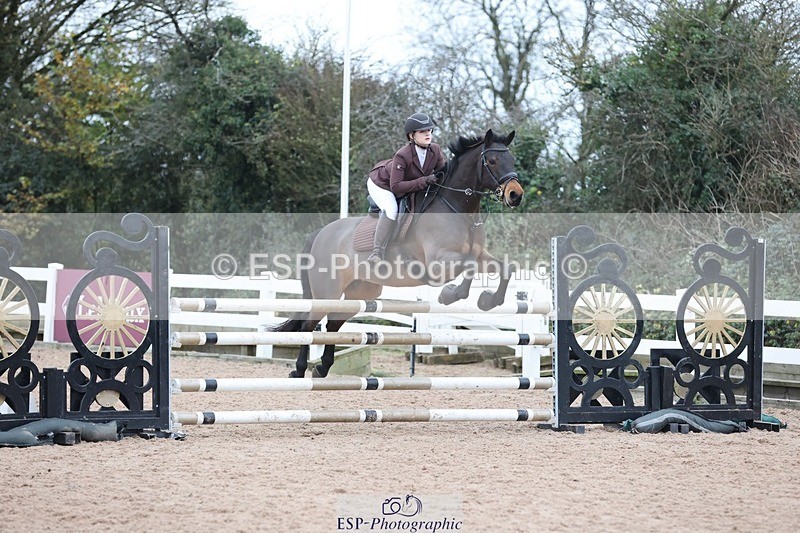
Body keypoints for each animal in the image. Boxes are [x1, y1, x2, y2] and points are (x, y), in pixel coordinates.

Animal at [273, 129, 524, 378]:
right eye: (492, 160)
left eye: (512, 159)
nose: (515, 195)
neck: (460, 211)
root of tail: (321, 233)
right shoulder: (438, 261)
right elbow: (468, 266)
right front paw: (450, 294)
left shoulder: (479, 255)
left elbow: (506, 268)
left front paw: (489, 300)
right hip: (328, 292)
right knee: (309, 325)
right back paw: (299, 370)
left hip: (361, 290)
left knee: (332, 324)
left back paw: (322, 368)